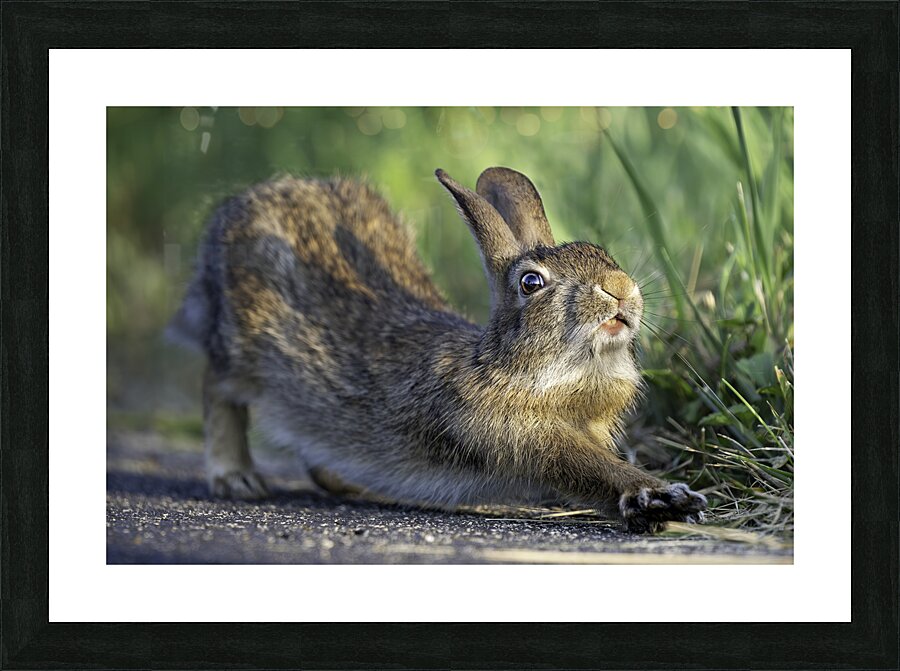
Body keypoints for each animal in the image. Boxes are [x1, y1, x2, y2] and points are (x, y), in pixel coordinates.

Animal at [169, 167, 707, 533]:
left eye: (603, 254)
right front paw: (660, 496)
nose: (620, 289)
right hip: (242, 346)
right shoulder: (514, 433)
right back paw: (236, 478)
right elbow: (588, 468)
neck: (522, 370)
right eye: (531, 283)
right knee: (216, 386)